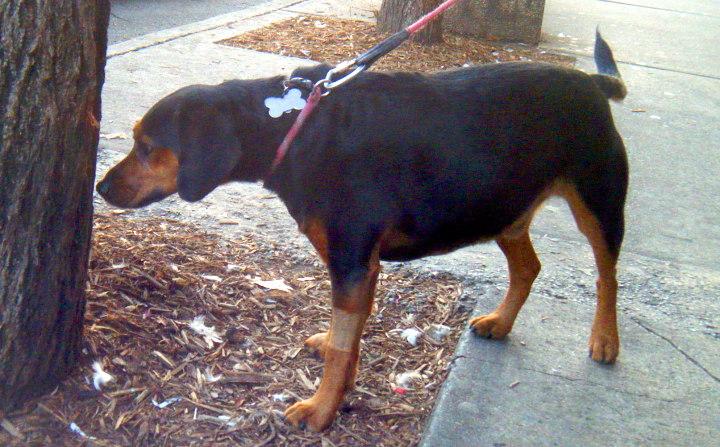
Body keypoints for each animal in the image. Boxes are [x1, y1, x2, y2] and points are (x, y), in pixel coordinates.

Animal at [97, 31, 628, 431]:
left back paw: (605, 340)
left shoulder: (352, 262)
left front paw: (320, 409)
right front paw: (340, 392)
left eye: (147, 147)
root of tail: (592, 81)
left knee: (607, 276)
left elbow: (339, 346)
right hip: (502, 209)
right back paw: (500, 321)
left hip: (599, 204)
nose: (100, 186)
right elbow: (347, 341)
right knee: (529, 267)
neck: (290, 125)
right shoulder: (359, 265)